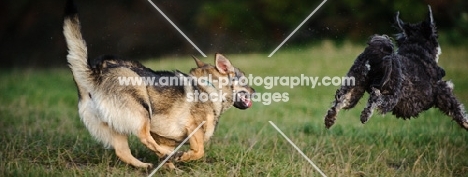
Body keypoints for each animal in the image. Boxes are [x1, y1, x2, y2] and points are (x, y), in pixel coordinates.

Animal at [324, 5, 468, 130]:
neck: (418, 50)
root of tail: (376, 55)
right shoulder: (444, 92)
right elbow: (459, 111)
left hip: (355, 86)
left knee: (341, 100)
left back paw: (330, 118)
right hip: (391, 96)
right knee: (376, 97)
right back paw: (365, 115)